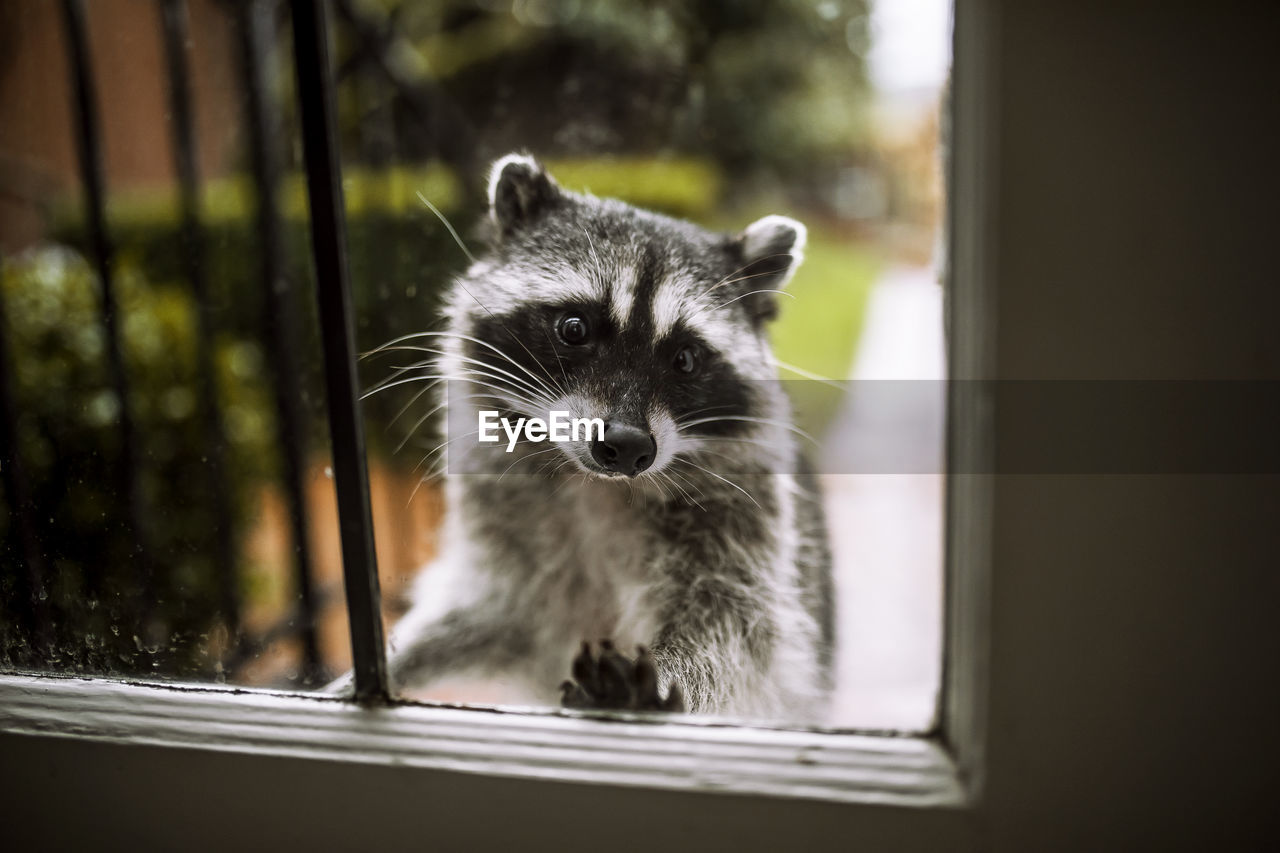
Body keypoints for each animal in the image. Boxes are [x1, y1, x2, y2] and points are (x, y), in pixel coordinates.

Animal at [371, 153, 834, 717]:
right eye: (574, 328)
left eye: (685, 359)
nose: (629, 447)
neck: (595, 484)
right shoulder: (505, 533)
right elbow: (488, 611)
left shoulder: (740, 522)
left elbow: (732, 635)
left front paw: (663, 676)